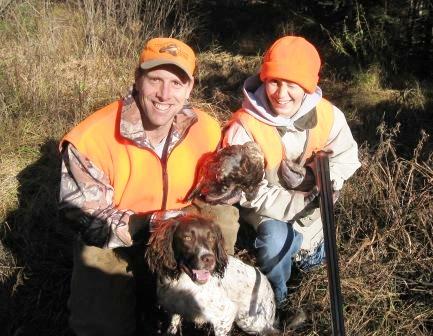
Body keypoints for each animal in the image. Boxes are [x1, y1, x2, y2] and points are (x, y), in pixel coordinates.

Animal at [145, 215, 278, 336]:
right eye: (187, 237)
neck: (181, 282)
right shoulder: (173, 307)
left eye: (212, 238)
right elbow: (173, 324)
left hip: (249, 321)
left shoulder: (225, 314)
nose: (209, 259)